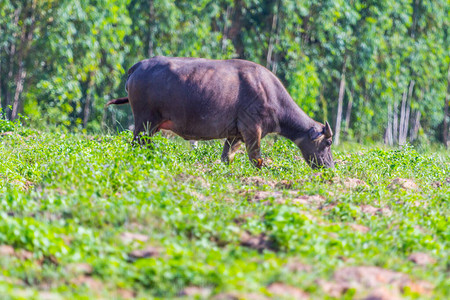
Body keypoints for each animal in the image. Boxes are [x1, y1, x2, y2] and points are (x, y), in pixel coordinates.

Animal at [107, 56, 334, 169]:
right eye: (328, 143)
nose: (330, 168)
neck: (270, 93)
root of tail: (139, 66)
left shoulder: (236, 135)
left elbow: (227, 158)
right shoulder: (252, 130)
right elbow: (257, 160)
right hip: (145, 123)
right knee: (137, 145)